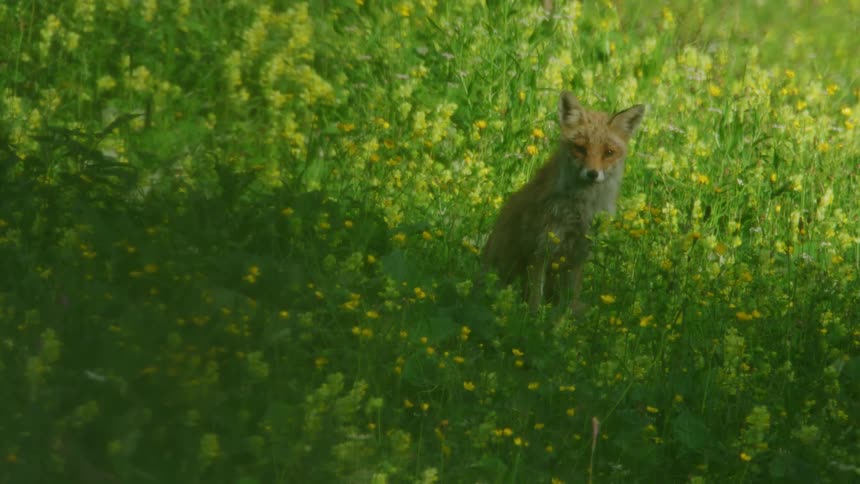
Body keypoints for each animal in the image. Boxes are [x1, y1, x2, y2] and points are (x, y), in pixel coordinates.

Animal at [482, 91, 645, 312]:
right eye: (580, 148)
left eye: (608, 153)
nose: (592, 173)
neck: (580, 208)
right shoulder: (541, 248)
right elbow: (535, 298)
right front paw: (532, 318)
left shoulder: (579, 253)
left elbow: (570, 299)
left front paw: (563, 320)